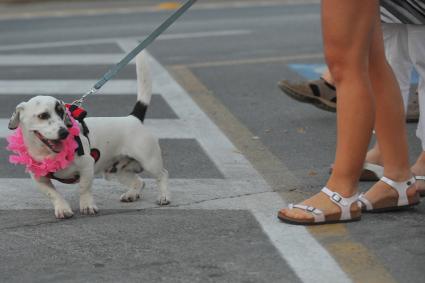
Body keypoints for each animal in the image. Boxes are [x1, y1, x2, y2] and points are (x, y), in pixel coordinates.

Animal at [7, 51, 170, 220]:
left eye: (62, 113)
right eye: (43, 115)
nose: (64, 132)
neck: (47, 153)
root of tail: (133, 118)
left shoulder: (86, 165)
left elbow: (84, 188)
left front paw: (87, 206)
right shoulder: (39, 179)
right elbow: (53, 194)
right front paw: (62, 208)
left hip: (149, 161)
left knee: (162, 175)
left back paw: (164, 196)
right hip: (116, 171)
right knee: (139, 182)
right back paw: (131, 194)